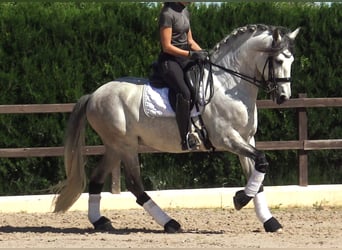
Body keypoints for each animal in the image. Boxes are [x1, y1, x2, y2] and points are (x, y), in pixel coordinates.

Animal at [52, 24, 300, 233]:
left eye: (292, 61)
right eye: (279, 61)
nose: (283, 97)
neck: (228, 85)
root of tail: (94, 95)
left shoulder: (247, 139)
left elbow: (258, 173)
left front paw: (269, 221)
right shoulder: (228, 139)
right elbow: (262, 162)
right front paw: (240, 199)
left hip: (114, 147)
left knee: (96, 179)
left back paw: (100, 221)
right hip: (125, 145)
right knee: (135, 185)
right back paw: (170, 223)